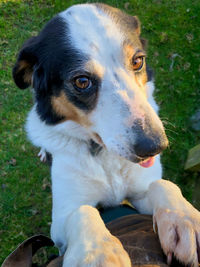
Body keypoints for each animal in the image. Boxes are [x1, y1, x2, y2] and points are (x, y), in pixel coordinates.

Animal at [12, 3, 200, 266]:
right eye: (82, 81)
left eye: (138, 61)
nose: (154, 146)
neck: (105, 156)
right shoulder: (60, 221)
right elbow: (83, 211)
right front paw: (100, 253)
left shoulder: (141, 191)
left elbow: (163, 184)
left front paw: (184, 219)